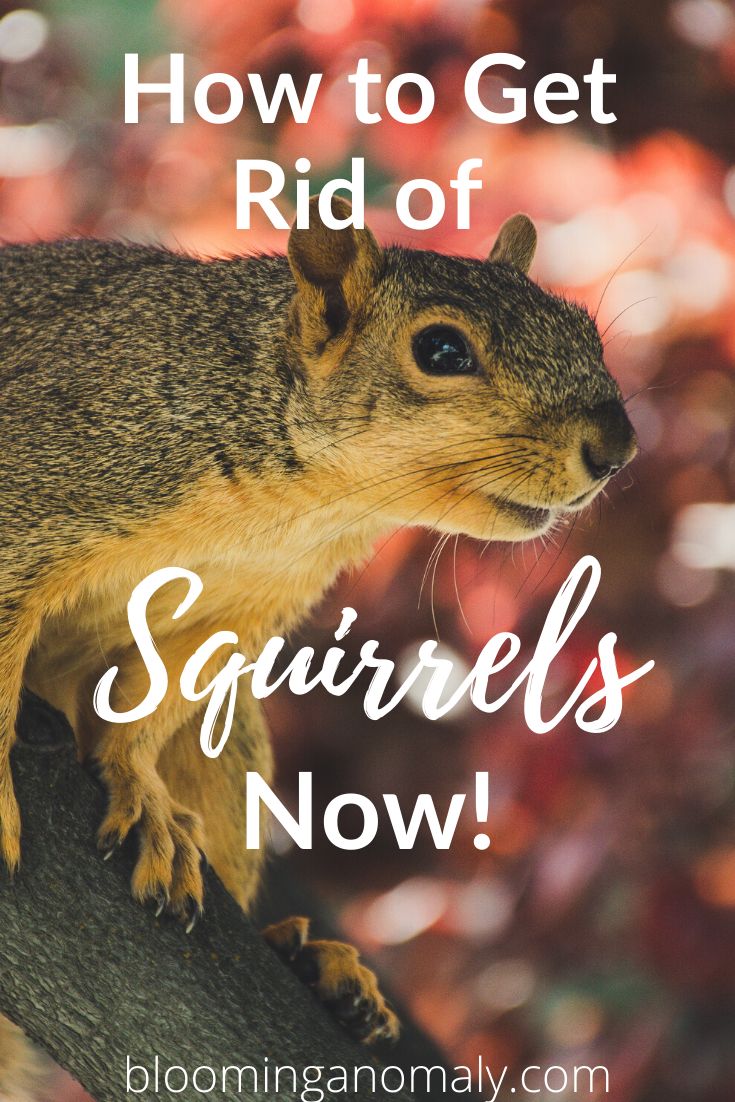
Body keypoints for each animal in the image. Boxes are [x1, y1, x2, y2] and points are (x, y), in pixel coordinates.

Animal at [0, 197, 636, 1085]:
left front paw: (143, 793)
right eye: (442, 350)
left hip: (229, 754)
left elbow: (148, 711)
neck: (306, 507)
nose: (615, 449)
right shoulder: (45, 470)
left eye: (586, 330)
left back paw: (310, 965)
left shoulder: (240, 608)